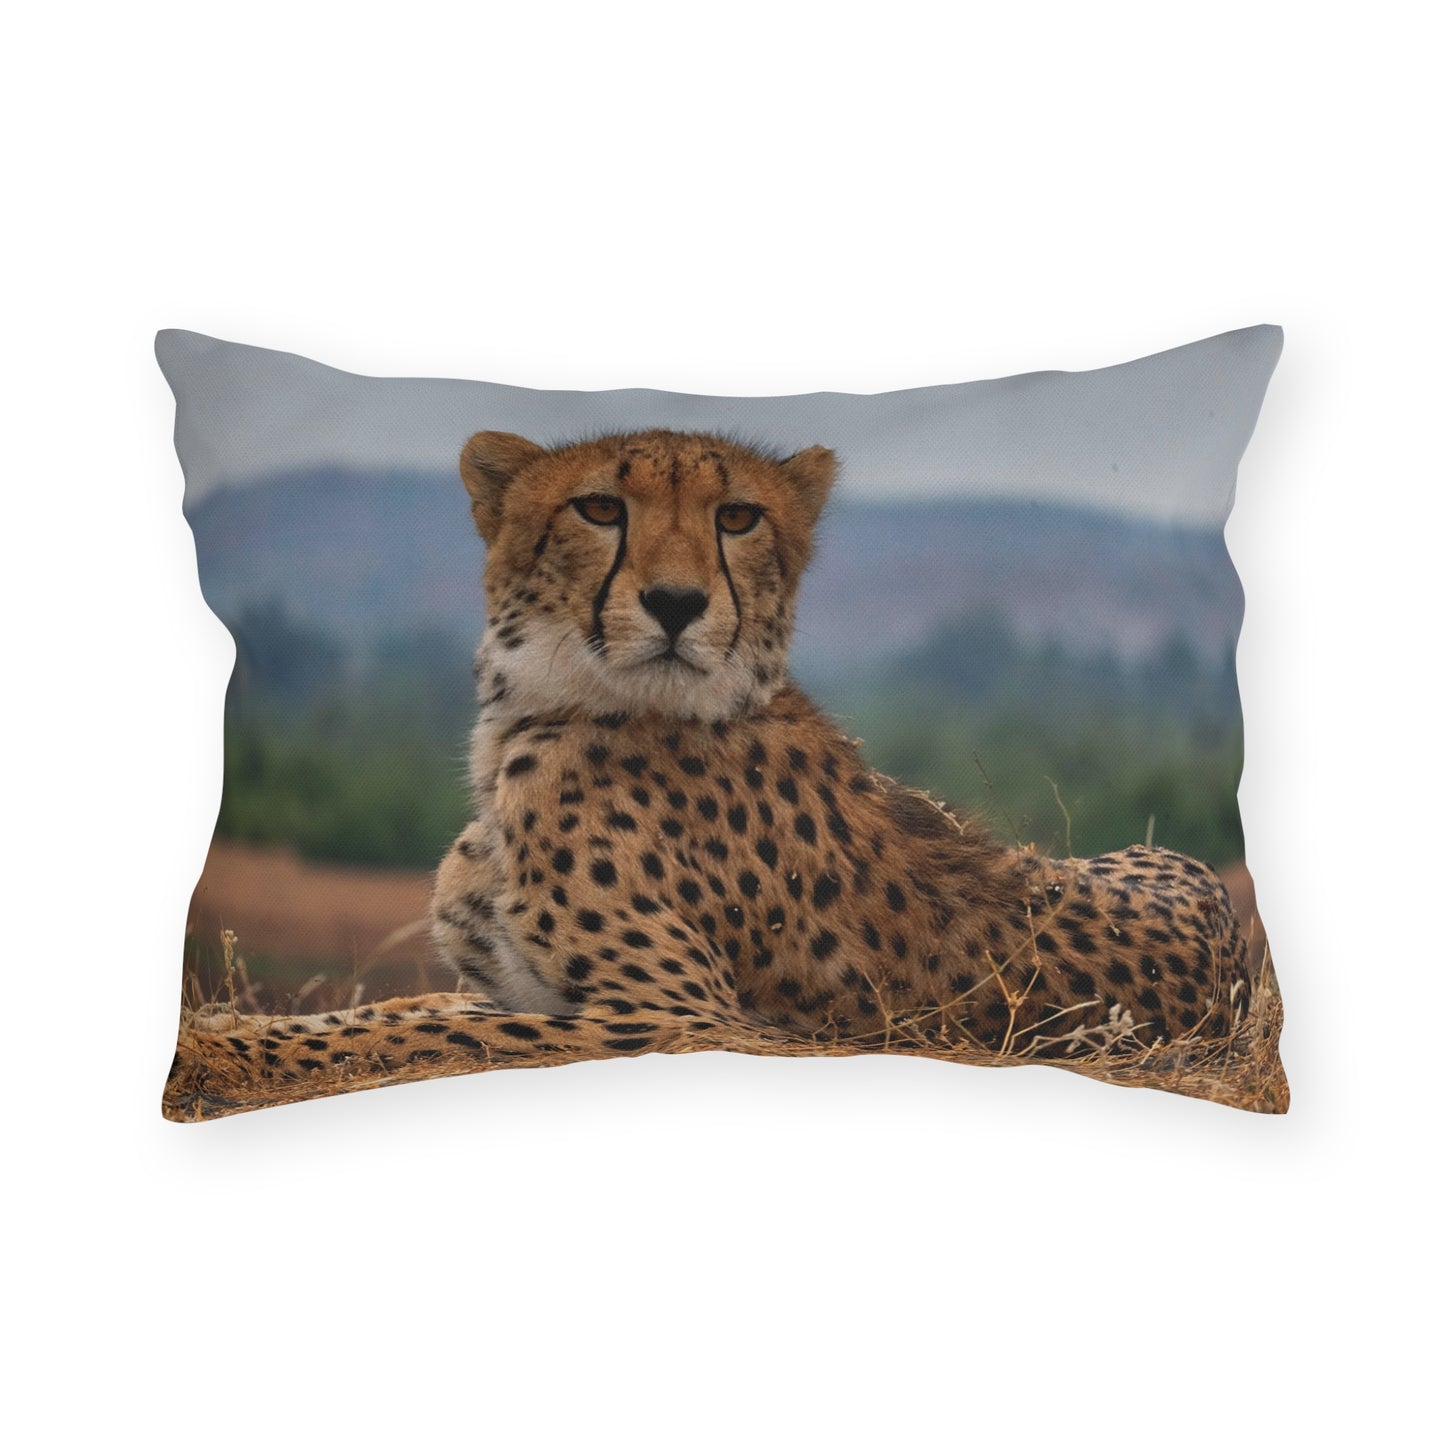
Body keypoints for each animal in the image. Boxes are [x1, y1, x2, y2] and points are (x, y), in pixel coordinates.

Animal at [168, 428, 1260, 1117]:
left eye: (737, 517)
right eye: (598, 507)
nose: (676, 601)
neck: (544, 708)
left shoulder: (679, 1018)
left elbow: (429, 1037)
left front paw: (221, 1047)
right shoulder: (521, 988)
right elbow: (399, 1009)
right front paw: (222, 1022)